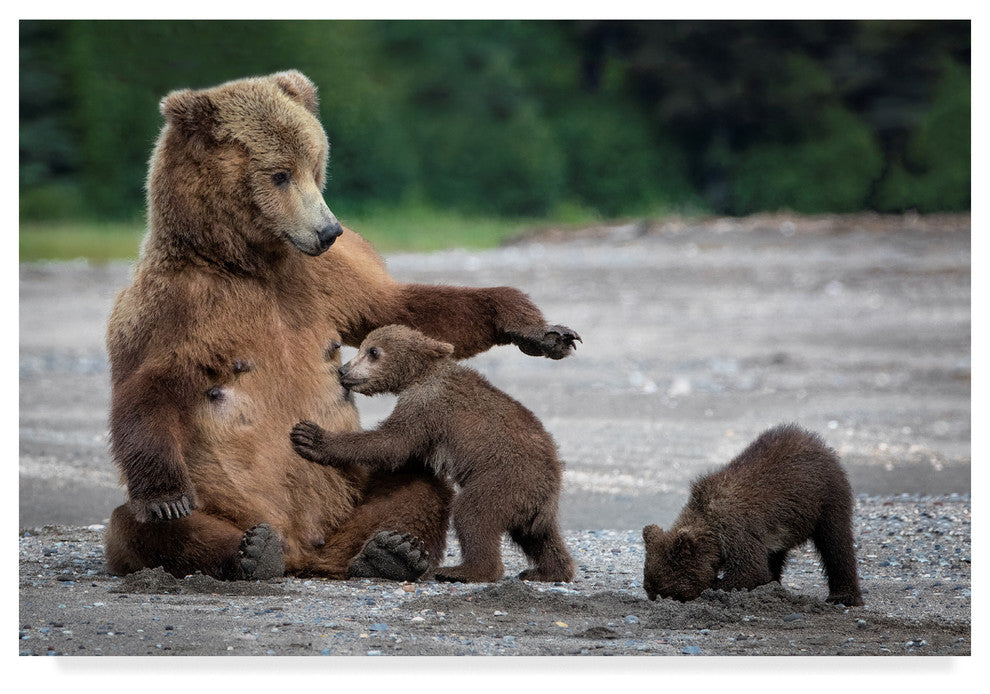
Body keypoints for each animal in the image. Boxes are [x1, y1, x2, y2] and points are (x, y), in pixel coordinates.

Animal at [290, 324, 576, 584]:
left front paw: (310, 436)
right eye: (363, 347)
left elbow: (391, 442)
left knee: (473, 515)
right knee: (540, 538)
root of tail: (549, 491)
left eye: (372, 351)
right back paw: (547, 571)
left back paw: (463, 571)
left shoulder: (426, 406)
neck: (419, 375)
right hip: (532, 504)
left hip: (504, 480)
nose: (344, 370)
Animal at [642, 424, 863, 606]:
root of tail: (815, 440)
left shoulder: (736, 528)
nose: (656, 599)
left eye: (668, 591)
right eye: (649, 589)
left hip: (826, 497)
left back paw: (843, 596)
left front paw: (716, 586)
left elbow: (749, 570)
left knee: (835, 542)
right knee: (776, 554)